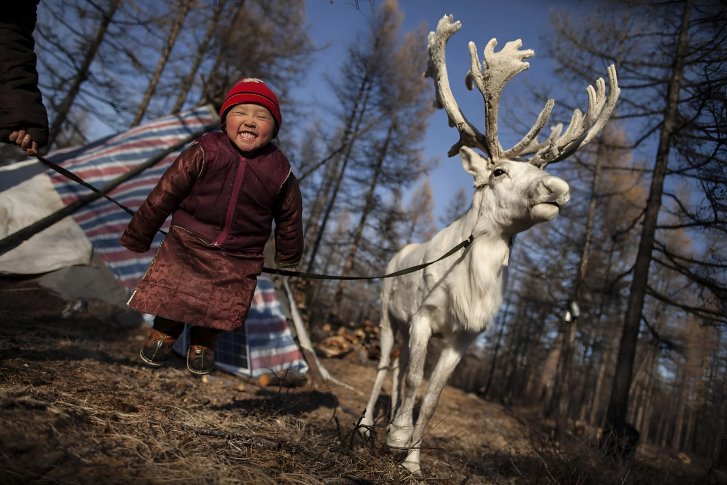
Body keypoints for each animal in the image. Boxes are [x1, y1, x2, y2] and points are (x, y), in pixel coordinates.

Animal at [359, 15, 619, 477]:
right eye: (498, 171)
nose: (558, 188)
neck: (472, 277)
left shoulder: (464, 336)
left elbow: (433, 396)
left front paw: (413, 462)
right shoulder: (424, 315)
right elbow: (414, 379)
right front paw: (398, 437)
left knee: (400, 366)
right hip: (390, 316)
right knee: (387, 365)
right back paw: (368, 425)